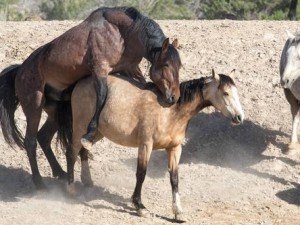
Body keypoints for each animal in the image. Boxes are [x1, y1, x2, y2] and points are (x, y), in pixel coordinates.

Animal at [0, 7, 182, 189]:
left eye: (179, 65)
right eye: (166, 64)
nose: (174, 97)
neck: (123, 33)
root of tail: (20, 71)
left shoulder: (130, 69)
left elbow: (142, 84)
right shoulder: (100, 70)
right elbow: (101, 97)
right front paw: (89, 134)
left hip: (55, 111)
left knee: (43, 137)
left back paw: (60, 172)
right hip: (34, 107)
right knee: (30, 141)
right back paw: (39, 182)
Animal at [56, 68, 244, 220]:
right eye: (225, 93)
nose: (239, 117)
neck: (170, 112)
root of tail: (81, 82)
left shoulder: (174, 149)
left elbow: (174, 178)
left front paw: (177, 211)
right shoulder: (146, 145)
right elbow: (141, 174)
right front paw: (139, 206)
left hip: (96, 133)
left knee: (83, 150)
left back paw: (87, 181)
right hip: (80, 127)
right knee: (71, 152)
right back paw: (71, 189)